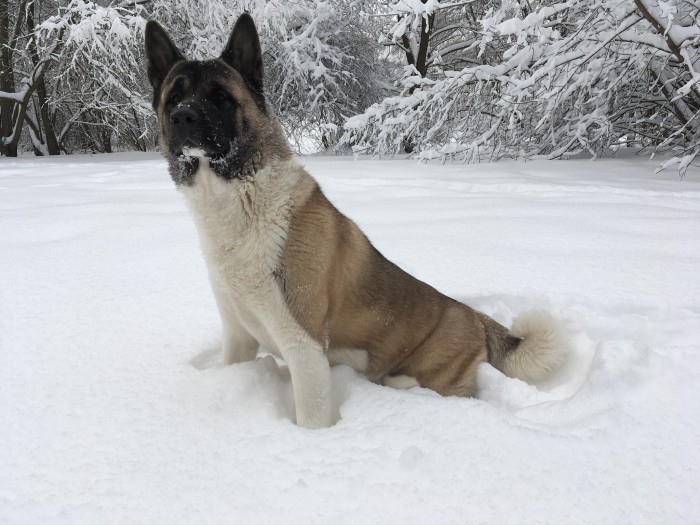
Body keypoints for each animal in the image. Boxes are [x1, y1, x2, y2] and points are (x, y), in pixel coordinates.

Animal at [144, 14, 568, 428]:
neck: (240, 200)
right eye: (174, 96)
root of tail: (476, 317)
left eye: (219, 96)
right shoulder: (238, 336)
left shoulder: (304, 346)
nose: (183, 116)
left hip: (437, 375)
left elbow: (311, 419)